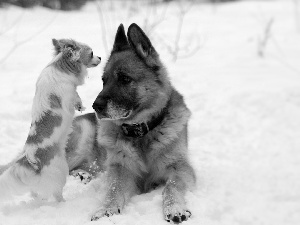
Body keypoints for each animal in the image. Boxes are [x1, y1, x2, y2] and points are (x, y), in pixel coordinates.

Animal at [0, 38, 101, 202]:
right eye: (91, 53)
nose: (100, 57)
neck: (59, 67)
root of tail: (29, 162)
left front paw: (80, 105)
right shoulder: (68, 96)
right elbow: (73, 97)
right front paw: (79, 104)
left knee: (34, 192)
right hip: (61, 170)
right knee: (56, 194)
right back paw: (63, 202)